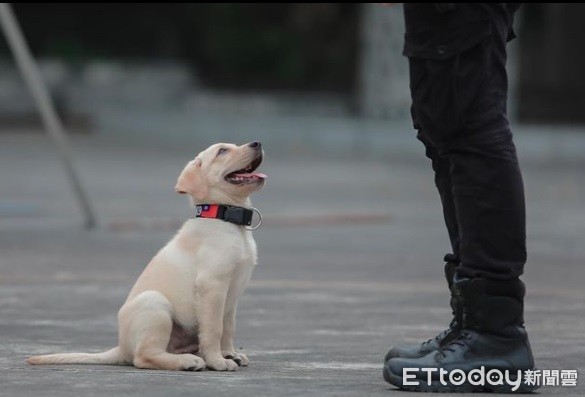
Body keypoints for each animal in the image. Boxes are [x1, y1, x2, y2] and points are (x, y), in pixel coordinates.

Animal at [26, 141, 264, 370]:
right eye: (222, 151)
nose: (257, 143)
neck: (223, 218)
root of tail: (121, 347)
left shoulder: (231, 295)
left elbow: (227, 327)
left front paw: (229, 354)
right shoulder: (212, 285)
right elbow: (214, 329)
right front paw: (217, 360)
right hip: (155, 303)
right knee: (144, 357)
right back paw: (188, 361)